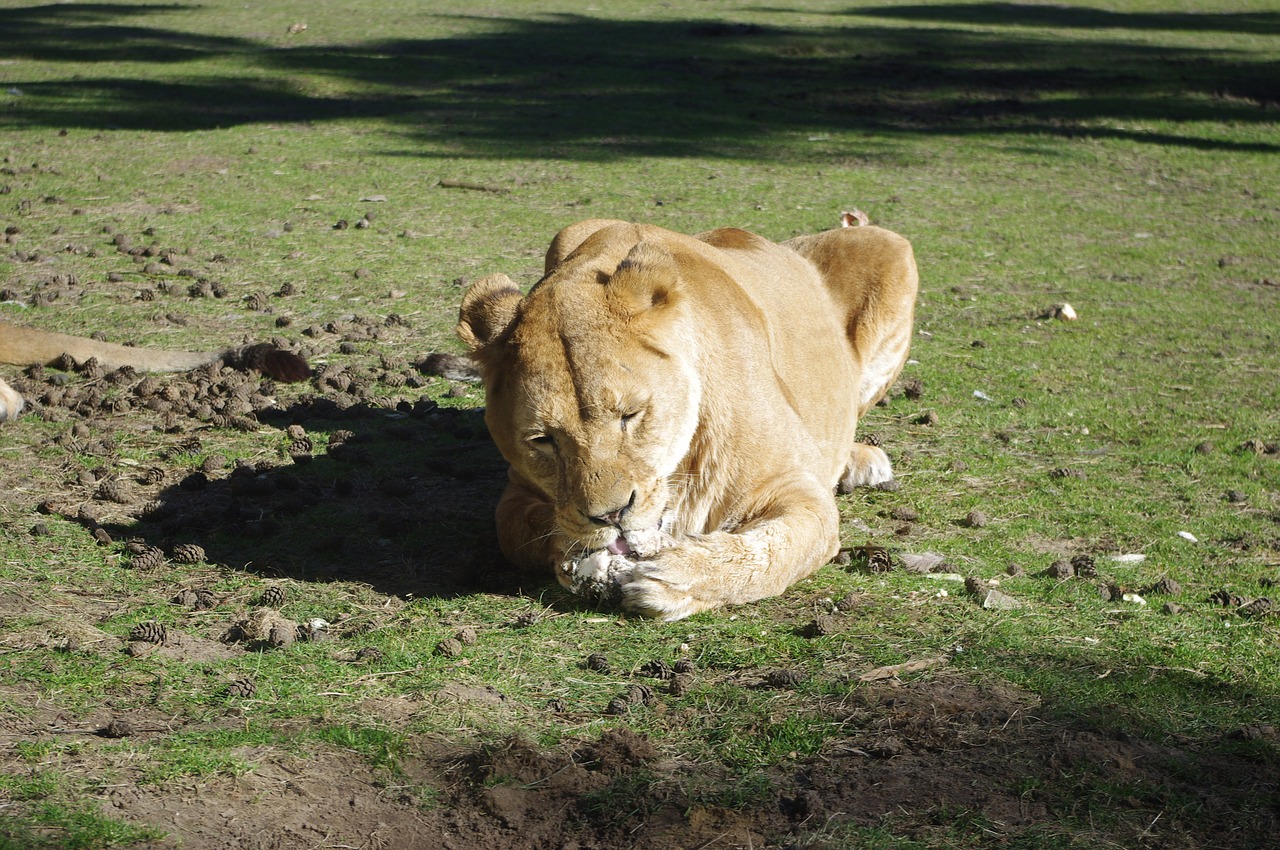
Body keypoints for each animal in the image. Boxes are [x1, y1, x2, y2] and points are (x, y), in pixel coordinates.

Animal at [455, 217, 916, 617]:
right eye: (542, 440)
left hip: (889, 247)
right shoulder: (516, 493)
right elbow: (521, 530)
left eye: (630, 415)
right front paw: (581, 555)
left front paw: (675, 575)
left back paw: (861, 463)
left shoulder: (799, 492)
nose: (610, 517)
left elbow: (770, 552)